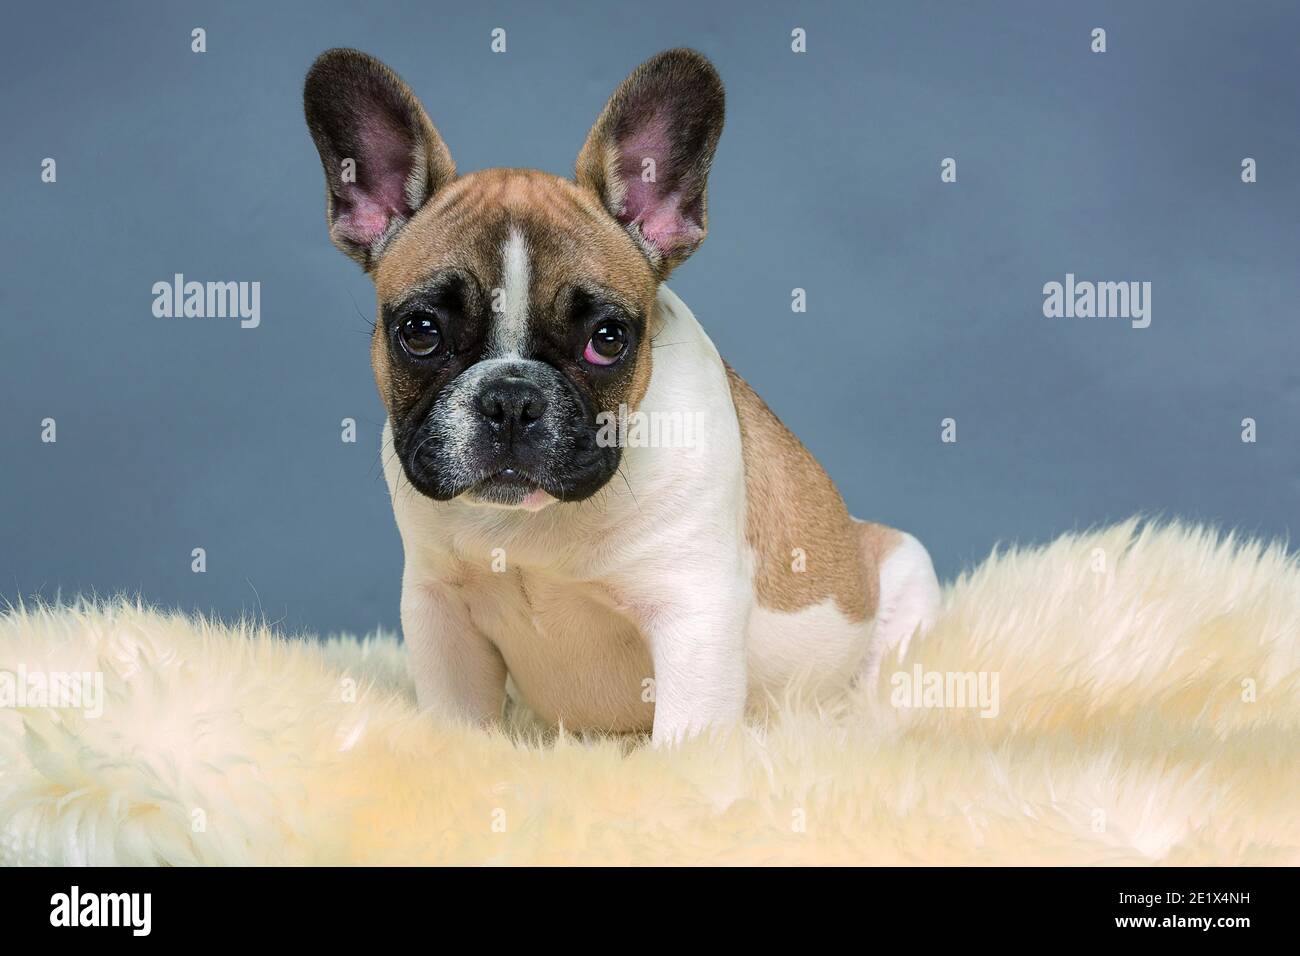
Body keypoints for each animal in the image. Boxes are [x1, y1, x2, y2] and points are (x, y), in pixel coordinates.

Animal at [304, 46, 935, 749]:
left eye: (607, 340)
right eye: (420, 332)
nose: (511, 399)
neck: (536, 524)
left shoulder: (694, 619)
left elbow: (683, 739)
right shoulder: (441, 611)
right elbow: (459, 722)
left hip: (906, 577)